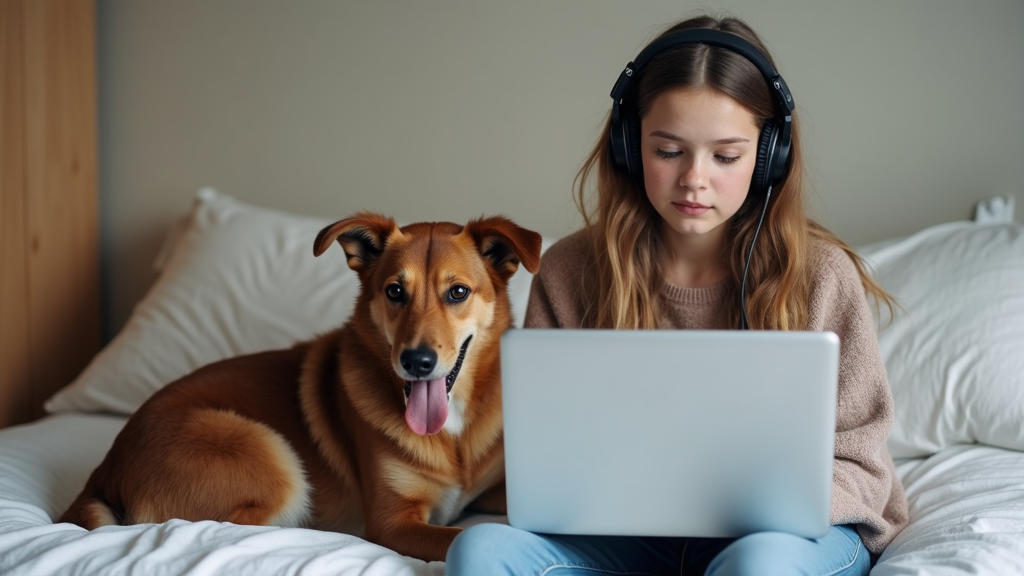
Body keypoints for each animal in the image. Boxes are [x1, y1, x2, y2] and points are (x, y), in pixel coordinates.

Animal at [60, 213, 544, 557]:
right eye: (394, 292)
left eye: (458, 292)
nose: (416, 362)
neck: (454, 433)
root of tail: (105, 468)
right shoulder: (393, 522)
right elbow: (456, 535)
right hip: (265, 454)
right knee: (228, 530)